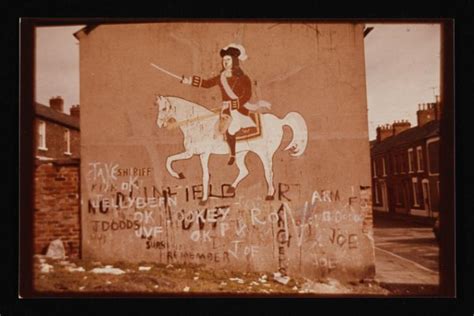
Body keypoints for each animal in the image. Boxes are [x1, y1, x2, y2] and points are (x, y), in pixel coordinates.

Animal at [155, 95, 308, 204]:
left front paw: (202, 198)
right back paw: (230, 188)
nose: (159, 124)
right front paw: (180, 176)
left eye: (164, 109)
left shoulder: (200, 154)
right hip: (241, 154)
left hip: (265, 153)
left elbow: (202, 174)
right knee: (245, 171)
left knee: (268, 172)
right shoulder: (195, 154)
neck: (199, 123)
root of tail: (279, 121)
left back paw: (270, 195)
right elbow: (170, 160)